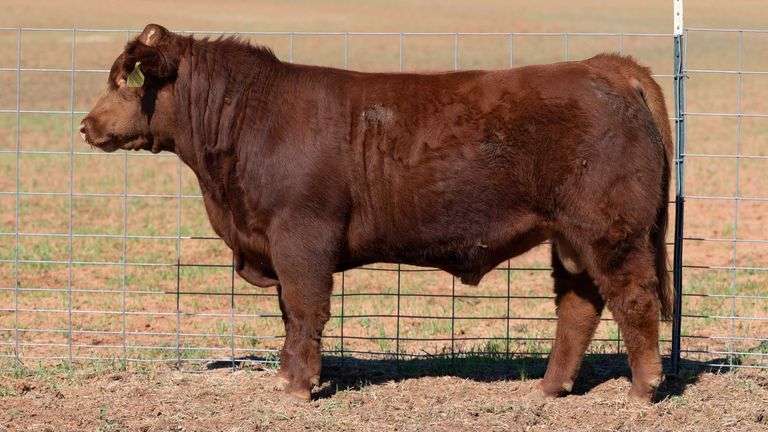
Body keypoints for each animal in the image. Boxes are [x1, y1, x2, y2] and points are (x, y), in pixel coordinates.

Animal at [81, 24, 673, 402]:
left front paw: (297, 388)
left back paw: (642, 390)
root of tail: (605, 67)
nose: (86, 125)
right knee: (579, 305)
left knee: (633, 298)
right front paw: (288, 378)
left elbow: (305, 311)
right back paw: (550, 388)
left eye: (128, 81)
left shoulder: (301, 238)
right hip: (571, 238)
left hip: (610, 231)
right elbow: (289, 313)